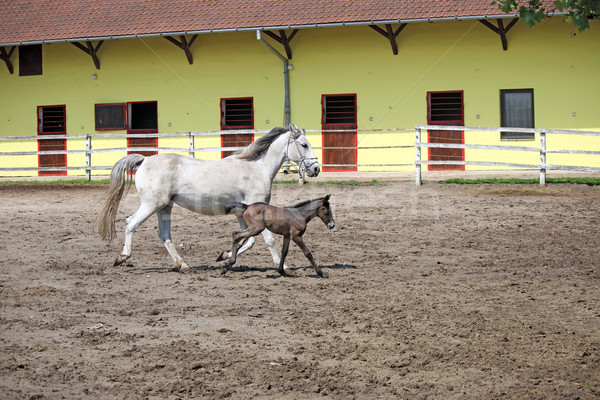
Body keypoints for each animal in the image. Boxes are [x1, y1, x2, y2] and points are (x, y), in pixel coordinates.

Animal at [96, 124, 318, 272]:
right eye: (304, 145)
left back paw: (183, 265)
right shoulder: (258, 210)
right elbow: (268, 239)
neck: (256, 168)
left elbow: (248, 241)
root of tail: (144, 160)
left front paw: (223, 256)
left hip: (165, 207)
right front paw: (283, 266)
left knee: (164, 235)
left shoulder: (243, 214)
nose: (316, 168)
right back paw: (122, 257)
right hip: (152, 204)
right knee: (130, 223)